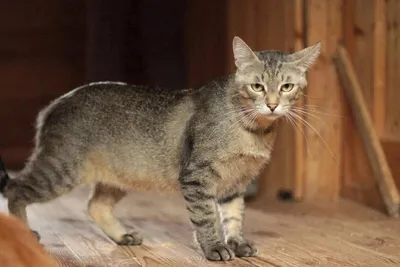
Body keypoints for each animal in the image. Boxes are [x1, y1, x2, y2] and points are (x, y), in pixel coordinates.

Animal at [0, 36, 318, 262]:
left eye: (287, 87)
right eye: (257, 87)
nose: (273, 105)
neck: (253, 130)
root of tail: (55, 103)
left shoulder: (235, 184)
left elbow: (234, 216)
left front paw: (237, 243)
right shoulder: (196, 177)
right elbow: (206, 217)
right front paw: (214, 247)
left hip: (119, 177)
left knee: (95, 205)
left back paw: (122, 236)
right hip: (61, 171)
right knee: (16, 189)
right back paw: (25, 232)